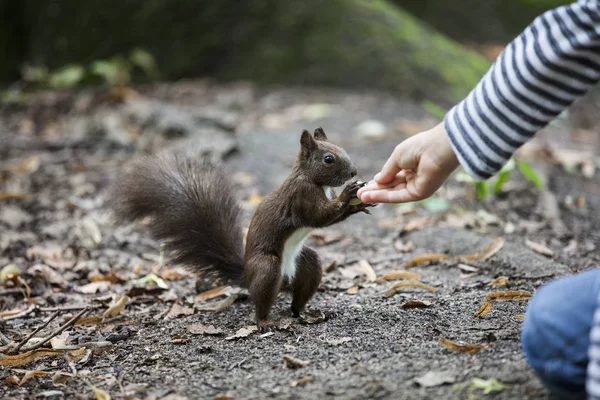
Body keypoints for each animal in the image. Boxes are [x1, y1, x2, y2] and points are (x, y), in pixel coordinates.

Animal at [106, 127, 370, 328]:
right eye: (329, 159)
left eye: (342, 150)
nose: (354, 172)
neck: (313, 180)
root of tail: (248, 276)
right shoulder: (301, 196)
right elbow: (319, 217)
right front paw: (348, 194)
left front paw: (359, 204)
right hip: (267, 268)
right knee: (262, 301)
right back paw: (265, 322)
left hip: (308, 264)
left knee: (298, 299)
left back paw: (306, 313)